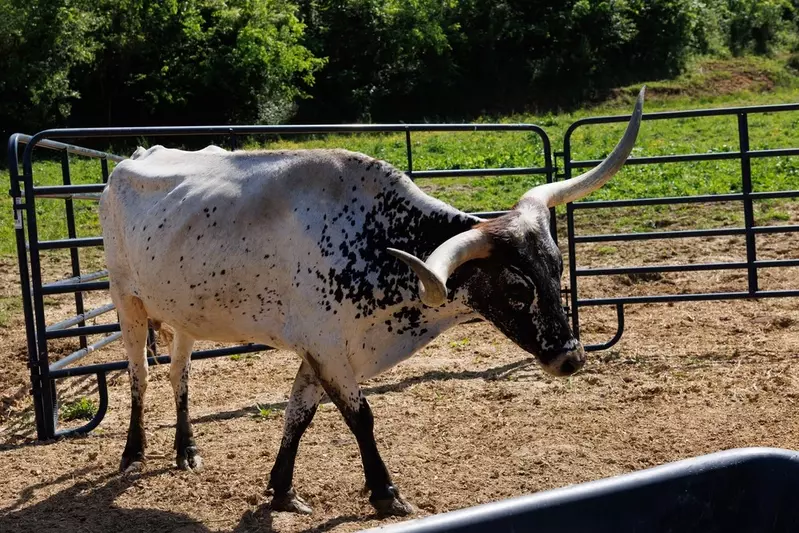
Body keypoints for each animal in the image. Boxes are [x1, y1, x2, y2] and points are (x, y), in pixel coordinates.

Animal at [98, 87, 648, 516]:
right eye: (517, 289)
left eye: (556, 270)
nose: (571, 357)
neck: (377, 241)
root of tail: (132, 159)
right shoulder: (327, 348)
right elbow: (360, 417)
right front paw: (385, 493)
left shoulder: (325, 351)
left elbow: (298, 413)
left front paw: (281, 489)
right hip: (126, 299)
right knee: (139, 374)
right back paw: (134, 451)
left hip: (182, 315)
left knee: (179, 374)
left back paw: (186, 448)